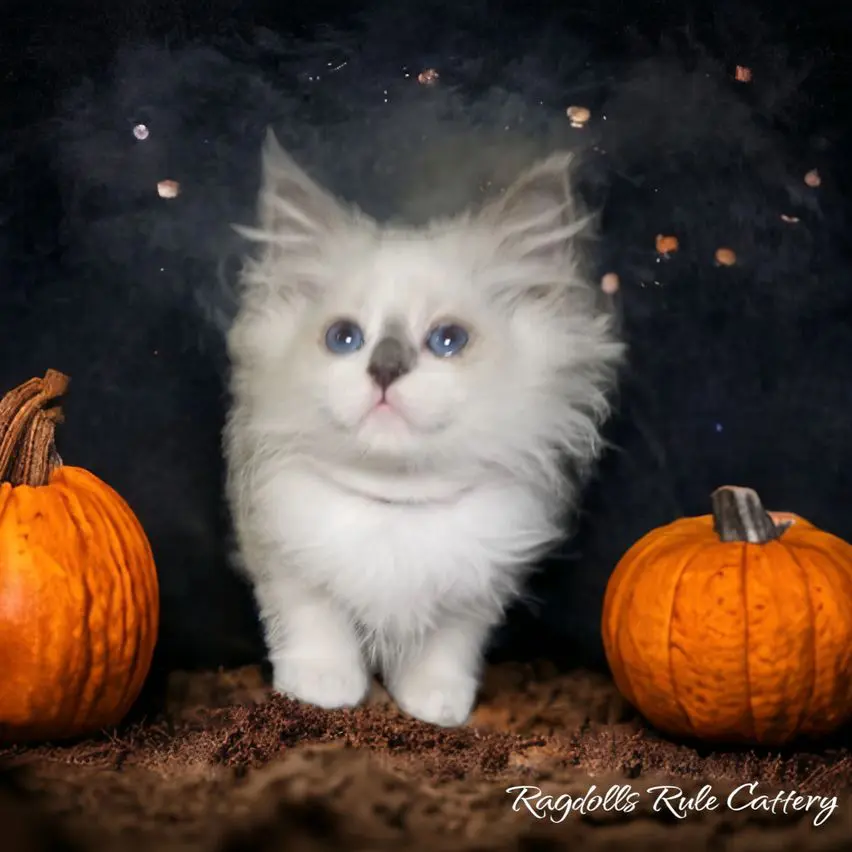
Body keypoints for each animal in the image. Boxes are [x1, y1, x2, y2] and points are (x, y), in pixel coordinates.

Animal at [225, 131, 624, 724]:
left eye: (448, 340)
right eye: (344, 338)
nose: (386, 368)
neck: (399, 503)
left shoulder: (478, 587)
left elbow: (447, 646)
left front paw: (437, 704)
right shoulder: (283, 553)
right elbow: (314, 621)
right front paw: (321, 688)